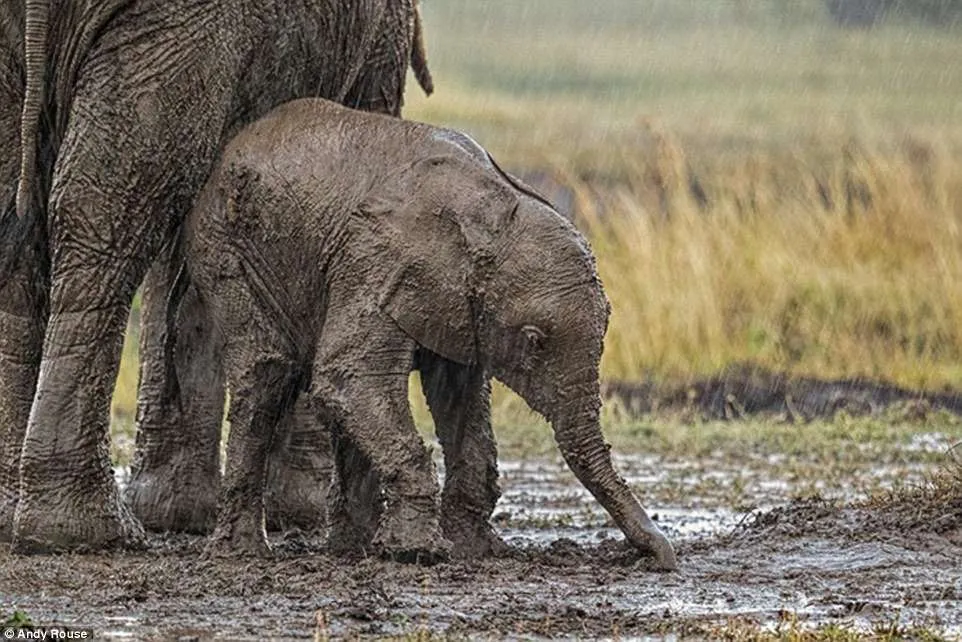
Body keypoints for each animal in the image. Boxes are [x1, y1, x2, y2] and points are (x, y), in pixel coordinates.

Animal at [0, 0, 434, 552]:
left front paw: (180, 511)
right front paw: (303, 507)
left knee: (35, 213)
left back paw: (29, 520)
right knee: (112, 203)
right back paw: (86, 532)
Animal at [188, 97, 676, 568]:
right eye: (534, 341)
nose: (658, 557)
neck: (495, 212)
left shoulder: (461, 306)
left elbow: (459, 399)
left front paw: (475, 550)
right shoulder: (378, 264)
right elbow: (350, 377)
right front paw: (417, 552)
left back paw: (350, 548)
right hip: (226, 250)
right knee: (267, 375)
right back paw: (245, 553)